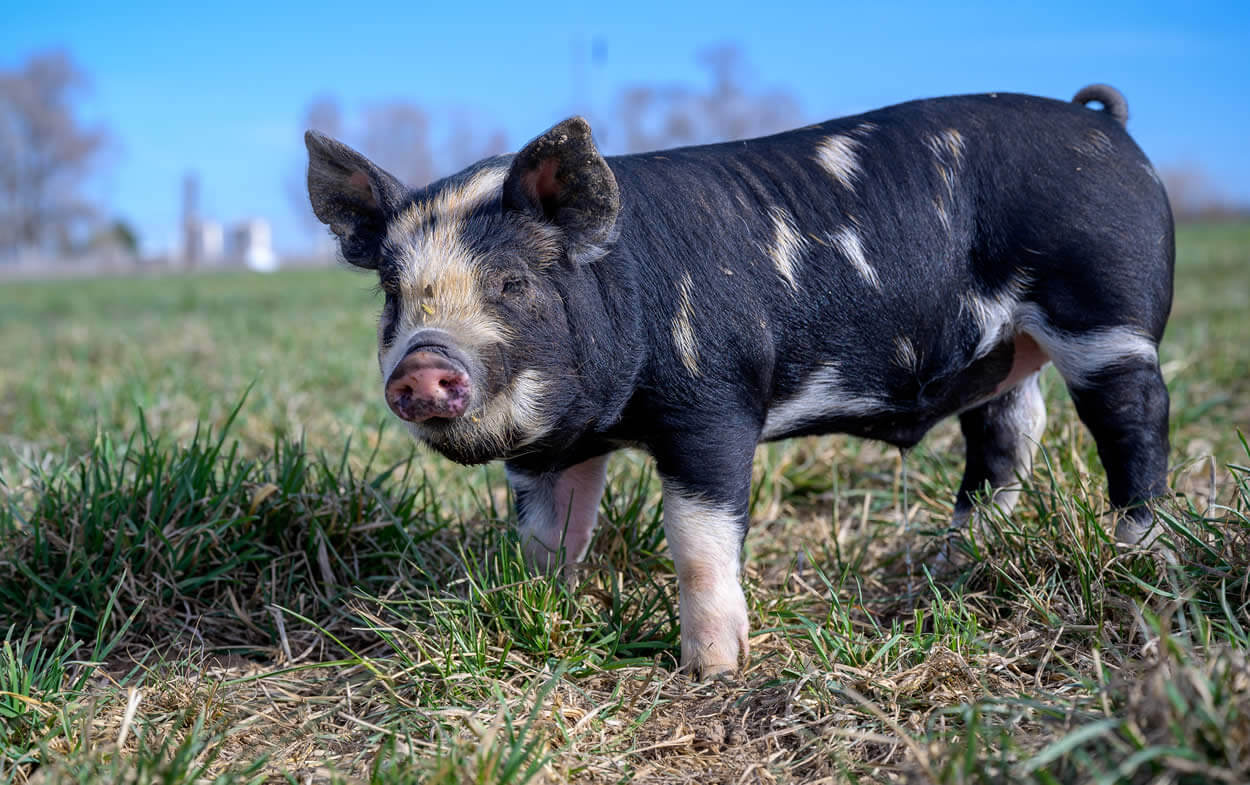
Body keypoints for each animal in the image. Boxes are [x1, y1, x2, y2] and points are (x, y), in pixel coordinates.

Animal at [302, 84, 1170, 675]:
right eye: (392, 294)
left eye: (513, 283)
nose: (423, 366)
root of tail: (1106, 123)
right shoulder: (550, 450)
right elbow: (546, 538)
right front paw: (544, 608)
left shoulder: (714, 404)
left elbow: (697, 541)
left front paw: (712, 670)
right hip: (1004, 354)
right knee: (1006, 440)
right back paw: (948, 564)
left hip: (1108, 311)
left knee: (1134, 427)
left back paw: (1135, 558)